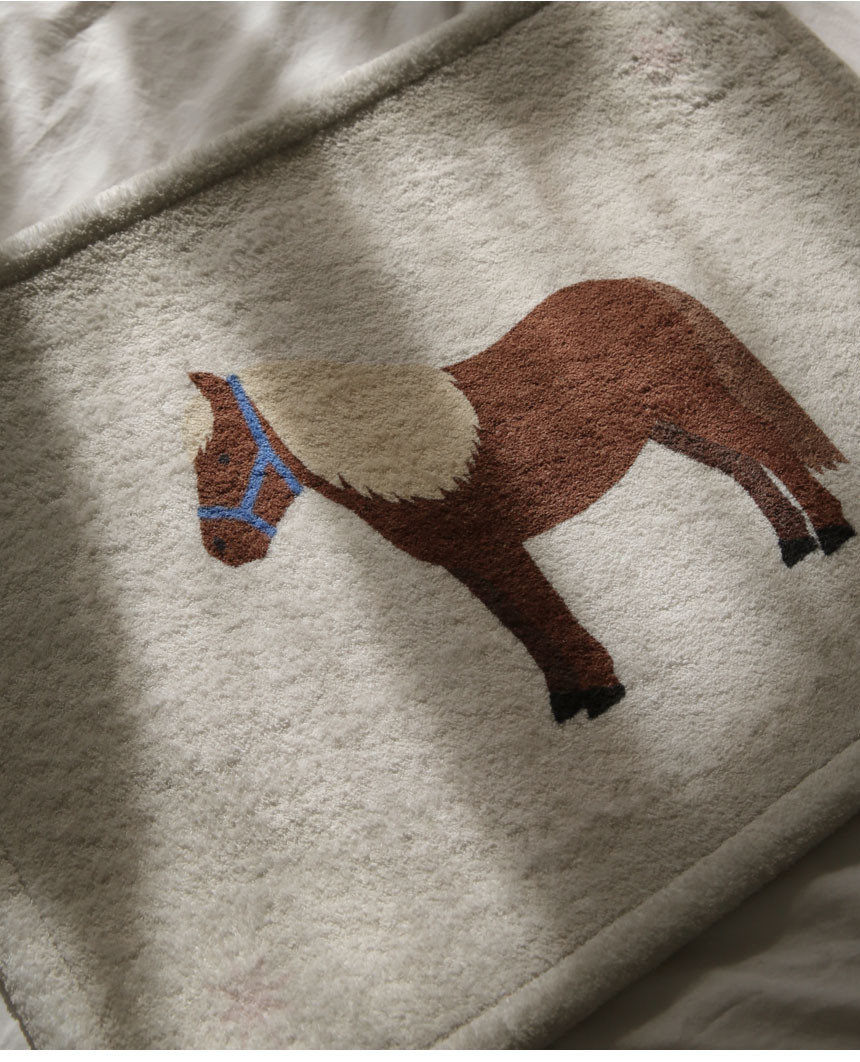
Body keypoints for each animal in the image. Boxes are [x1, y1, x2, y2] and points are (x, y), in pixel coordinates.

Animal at [187, 277, 855, 723]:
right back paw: (793, 543)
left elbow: (541, 611)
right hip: (672, 427)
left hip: (696, 405)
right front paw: (570, 699)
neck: (400, 456)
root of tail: (643, 284)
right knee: (743, 465)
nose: (220, 549)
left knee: (767, 445)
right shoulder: (469, 562)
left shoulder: (493, 546)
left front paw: (600, 693)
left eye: (219, 460)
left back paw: (831, 531)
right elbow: (524, 625)